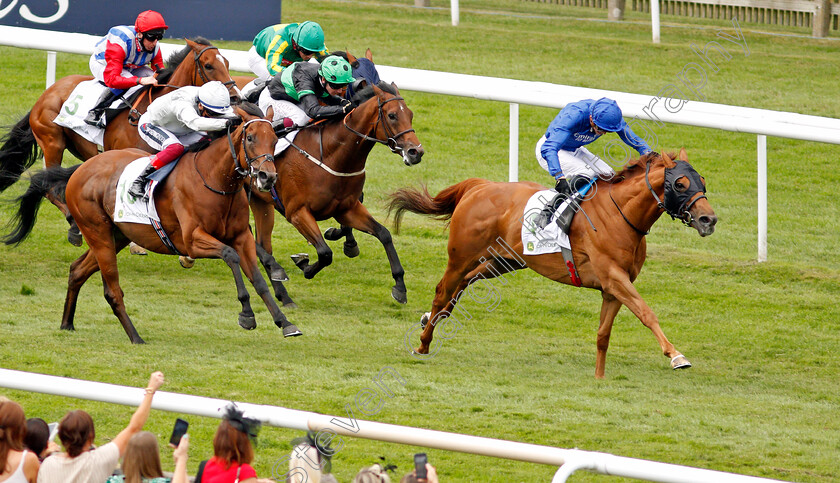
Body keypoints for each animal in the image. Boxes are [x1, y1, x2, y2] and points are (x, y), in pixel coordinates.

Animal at [0, 37, 240, 246]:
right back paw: (74, 225)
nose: (235, 97)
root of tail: (48, 92)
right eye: (208, 65)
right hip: (53, 142)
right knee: (49, 185)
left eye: (228, 62)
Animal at [0, 104, 298, 344]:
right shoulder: (191, 240)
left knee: (77, 270)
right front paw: (246, 314)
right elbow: (230, 255)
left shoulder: (241, 236)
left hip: (117, 236)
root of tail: (80, 169)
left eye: (275, 140)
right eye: (250, 138)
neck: (215, 180)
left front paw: (285, 322)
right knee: (112, 290)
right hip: (98, 233)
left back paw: (67, 323)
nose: (267, 177)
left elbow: (259, 279)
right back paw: (135, 336)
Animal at [246, 81, 424, 306]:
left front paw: (400, 286)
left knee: (262, 242)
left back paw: (282, 293)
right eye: (392, 115)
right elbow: (324, 253)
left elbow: (384, 234)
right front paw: (305, 265)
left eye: (410, 114)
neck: (332, 155)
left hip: (260, 202)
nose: (416, 152)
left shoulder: (347, 209)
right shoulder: (297, 213)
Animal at [390, 149, 720, 380]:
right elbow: (646, 313)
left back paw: (432, 318)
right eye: (680, 183)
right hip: (462, 256)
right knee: (443, 290)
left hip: (503, 261)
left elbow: (603, 334)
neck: (621, 215)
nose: (709, 219)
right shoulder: (614, 278)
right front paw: (676, 355)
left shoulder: (613, 287)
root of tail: (479, 186)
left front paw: (599, 377)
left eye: (702, 181)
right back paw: (423, 342)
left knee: (464, 282)